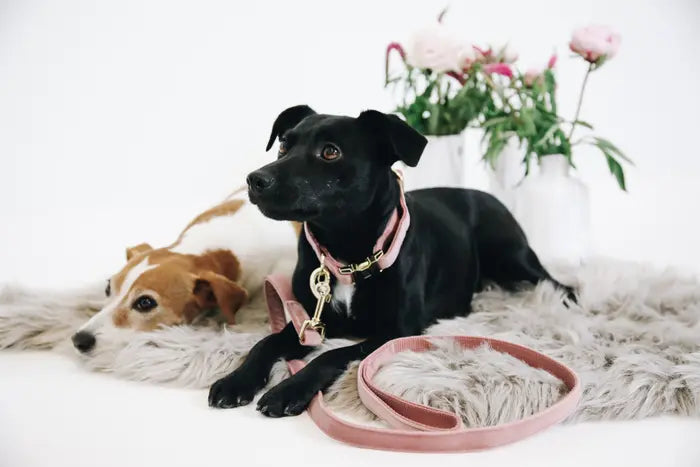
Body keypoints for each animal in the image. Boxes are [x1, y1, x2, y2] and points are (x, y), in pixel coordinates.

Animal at [209, 106, 576, 416]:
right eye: (284, 144)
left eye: (330, 152)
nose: (255, 179)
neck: (347, 256)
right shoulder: (309, 322)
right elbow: (265, 343)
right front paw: (236, 381)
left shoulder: (395, 332)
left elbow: (331, 354)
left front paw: (288, 390)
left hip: (512, 256)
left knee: (555, 282)